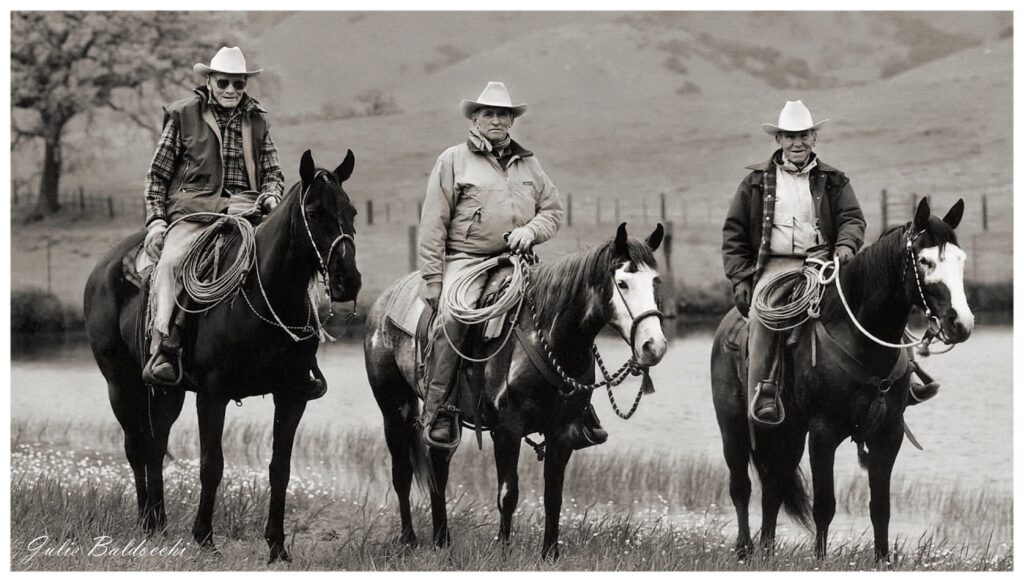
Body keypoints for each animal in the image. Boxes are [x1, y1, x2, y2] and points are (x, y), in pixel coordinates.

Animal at [83, 149, 364, 565]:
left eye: (352, 211)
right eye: (314, 212)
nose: (349, 281)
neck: (265, 297)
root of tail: (104, 267)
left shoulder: (292, 395)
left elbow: (280, 468)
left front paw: (277, 546)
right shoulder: (212, 395)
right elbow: (211, 465)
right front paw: (203, 537)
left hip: (167, 392)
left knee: (155, 444)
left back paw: (159, 523)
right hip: (120, 384)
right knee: (136, 447)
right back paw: (146, 523)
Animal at [364, 224, 667, 557]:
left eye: (656, 281)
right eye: (623, 283)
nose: (654, 346)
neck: (549, 339)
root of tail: (384, 302)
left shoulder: (562, 433)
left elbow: (553, 496)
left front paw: (550, 554)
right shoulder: (507, 429)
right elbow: (508, 493)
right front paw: (503, 549)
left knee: (438, 467)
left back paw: (442, 539)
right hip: (394, 408)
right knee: (402, 473)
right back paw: (409, 539)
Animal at [712, 197, 974, 561]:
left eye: (961, 260)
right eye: (925, 260)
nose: (960, 323)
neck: (859, 336)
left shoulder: (888, 433)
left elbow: (880, 507)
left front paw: (883, 560)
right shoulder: (823, 433)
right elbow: (824, 505)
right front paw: (820, 561)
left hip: (788, 433)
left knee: (773, 489)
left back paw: (767, 550)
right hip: (734, 426)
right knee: (741, 487)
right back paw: (745, 548)